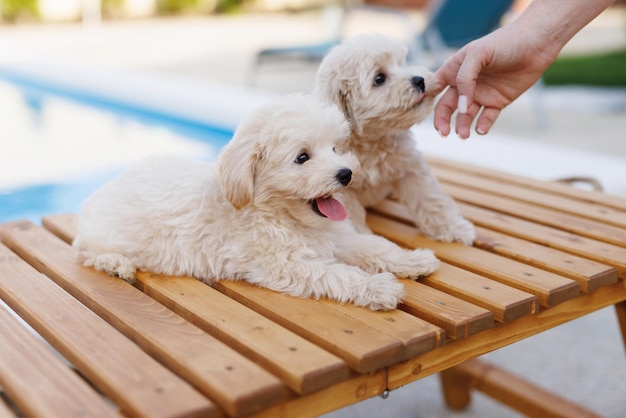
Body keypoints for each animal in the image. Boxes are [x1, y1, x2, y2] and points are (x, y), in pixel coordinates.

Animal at [72, 94, 438, 310]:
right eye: (302, 157)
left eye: (336, 148)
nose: (346, 173)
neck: (281, 214)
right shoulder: (284, 265)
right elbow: (340, 275)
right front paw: (378, 287)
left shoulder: (339, 238)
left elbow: (376, 248)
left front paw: (414, 259)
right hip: (104, 238)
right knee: (88, 254)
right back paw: (116, 265)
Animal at [314, 36, 476, 247]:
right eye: (379, 78)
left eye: (401, 63)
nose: (420, 80)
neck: (371, 140)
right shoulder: (342, 188)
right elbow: (351, 215)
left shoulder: (409, 167)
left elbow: (430, 198)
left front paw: (454, 227)